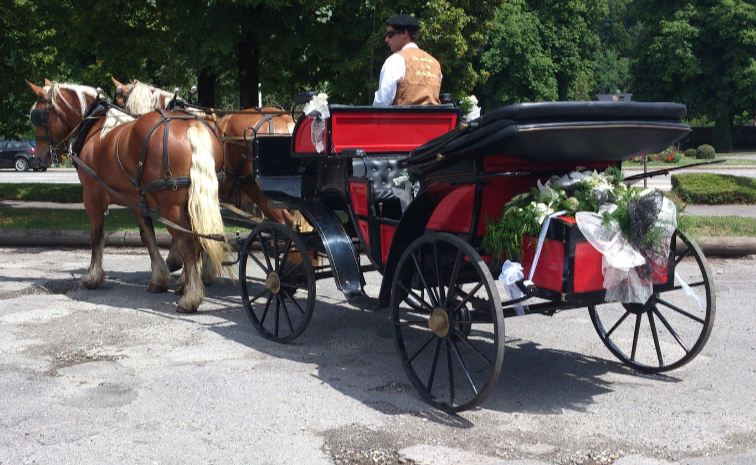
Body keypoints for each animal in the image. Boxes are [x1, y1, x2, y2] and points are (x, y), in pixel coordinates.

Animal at [28, 80, 229, 312]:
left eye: (39, 115)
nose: (40, 156)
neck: (96, 128)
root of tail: (192, 126)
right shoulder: (137, 200)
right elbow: (147, 236)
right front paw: (159, 278)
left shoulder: (92, 197)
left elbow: (96, 236)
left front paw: (93, 277)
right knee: (202, 237)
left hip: (171, 206)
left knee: (187, 241)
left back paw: (190, 297)